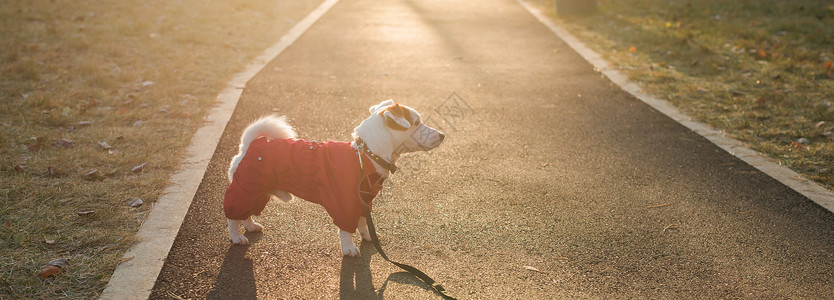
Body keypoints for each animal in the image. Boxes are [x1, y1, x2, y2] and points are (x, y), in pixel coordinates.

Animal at [221, 100, 442, 255]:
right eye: (416, 122)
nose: (442, 135)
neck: (367, 155)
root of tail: (249, 145)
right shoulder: (344, 203)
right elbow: (346, 230)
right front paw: (349, 248)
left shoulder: (364, 202)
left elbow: (364, 222)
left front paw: (368, 236)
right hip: (246, 189)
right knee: (233, 216)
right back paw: (237, 236)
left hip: (258, 192)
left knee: (246, 213)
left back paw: (250, 226)